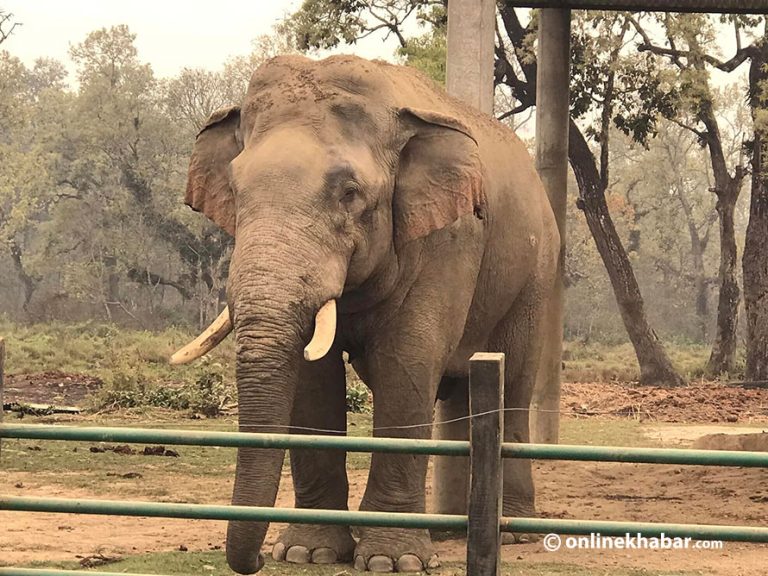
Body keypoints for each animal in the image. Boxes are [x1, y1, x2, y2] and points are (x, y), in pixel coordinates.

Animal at [172, 53, 560, 572]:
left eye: (349, 192)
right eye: (235, 190)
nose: (253, 562)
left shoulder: (449, 239)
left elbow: (406, 362)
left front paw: (393, 561)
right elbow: (313, 380)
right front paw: (306, 552)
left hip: (535, 275)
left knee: (513, 377)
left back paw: (512, 532)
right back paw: (452, 527)